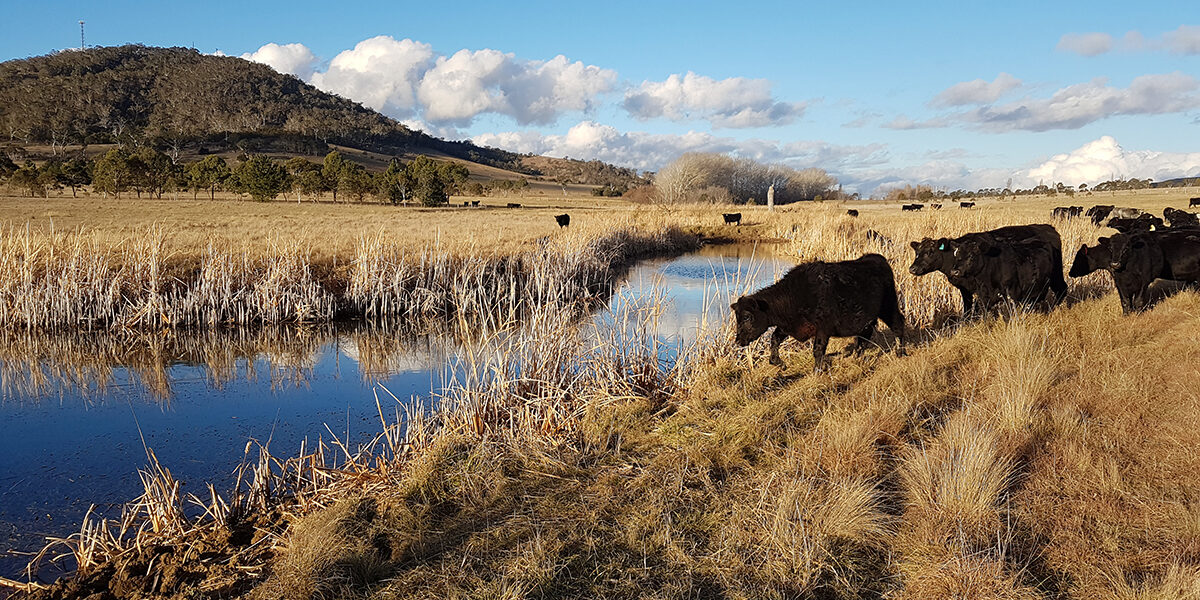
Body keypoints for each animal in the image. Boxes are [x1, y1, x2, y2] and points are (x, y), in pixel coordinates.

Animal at [724, 252, 902, 372]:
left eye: (747, 317)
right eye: (737, 317)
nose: (738, 340)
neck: (794, 296)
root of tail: (875, 258)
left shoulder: (823, 328)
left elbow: (817, 349)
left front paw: (818, 370)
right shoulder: (788, 326)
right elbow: (774, 340)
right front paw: (778, 362)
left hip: (889, 305)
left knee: (898, 323)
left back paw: (901, 352)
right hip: (868, 318)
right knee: (865, 334)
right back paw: (858, 356)